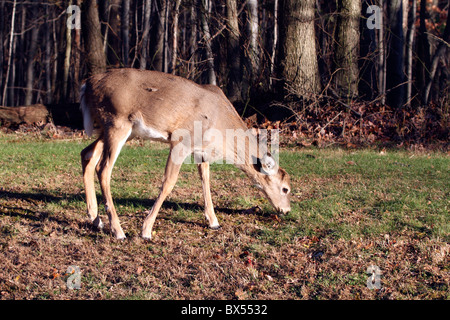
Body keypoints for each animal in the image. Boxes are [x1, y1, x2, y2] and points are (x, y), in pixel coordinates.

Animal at [80, 69, 292, 239]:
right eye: (285, 189)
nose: (287, 210)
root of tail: (87, 84)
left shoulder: (201, 150)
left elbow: (205, 179)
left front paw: (213, 221)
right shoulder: (181, 141)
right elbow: (169, 182)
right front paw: (146, 230)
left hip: (115, 130)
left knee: (87, 154)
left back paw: (95, 219)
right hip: (117, 122)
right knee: (103, 169)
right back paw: (118, 231)